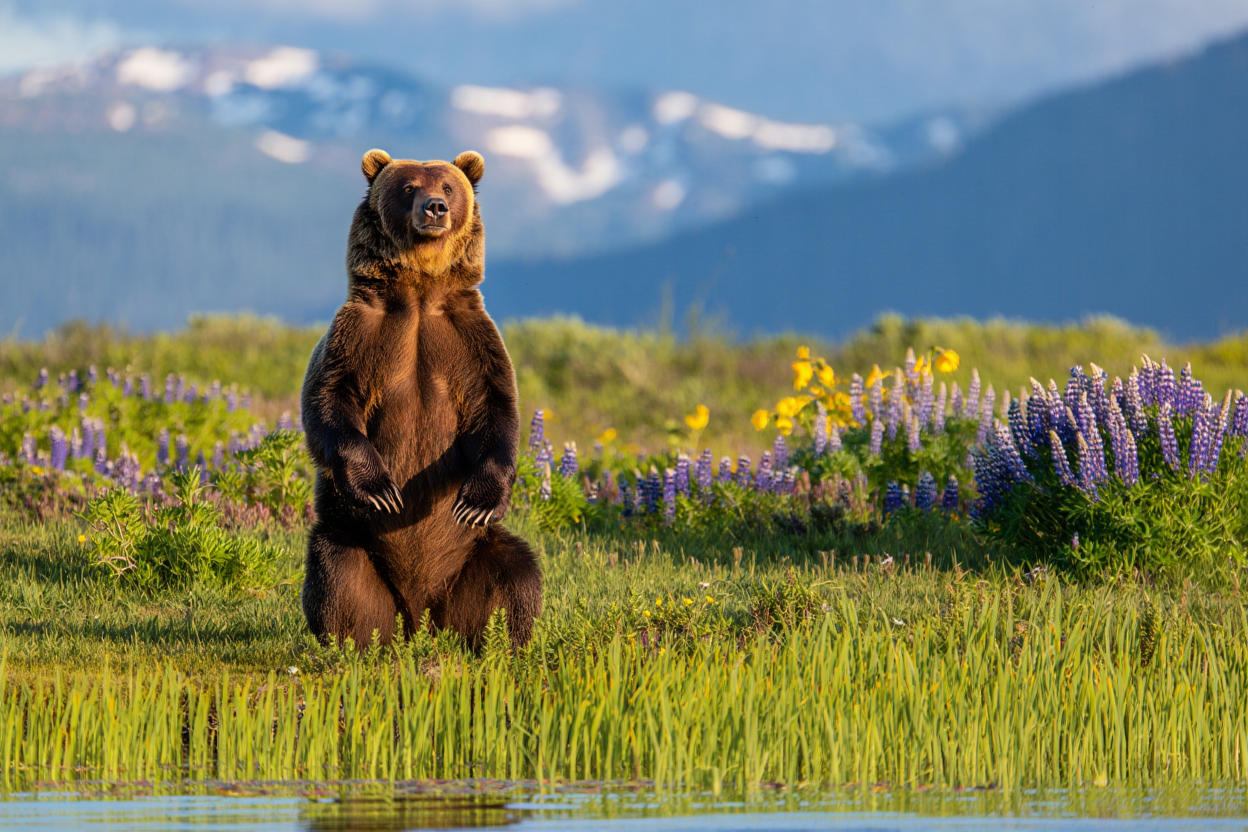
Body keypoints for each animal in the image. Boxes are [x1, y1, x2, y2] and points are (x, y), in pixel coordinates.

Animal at [299, 147, 541, 650]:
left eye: (448, 186)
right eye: (408, 186)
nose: (435, 208)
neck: (419, 293)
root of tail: (421, 617)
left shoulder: (470, 342)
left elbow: (496, 411)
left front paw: (477, 501)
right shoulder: (358, 336)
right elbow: (329, 401)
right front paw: (382, 489)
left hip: (475, 554)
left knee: (516, 574)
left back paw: (501, 641)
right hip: (354, 538)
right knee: (337, 574)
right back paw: (355, 642)